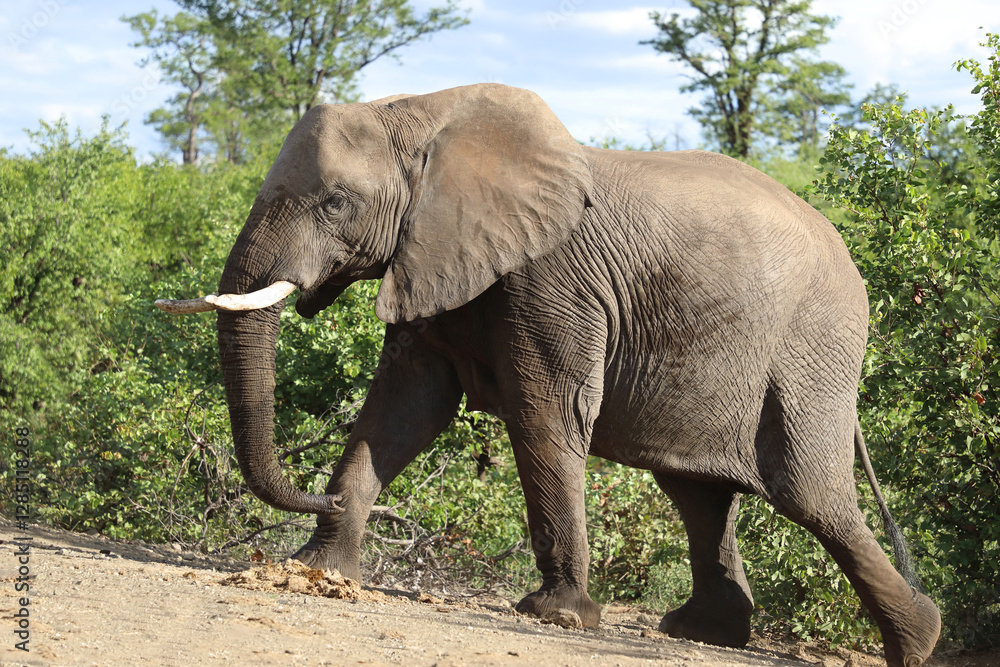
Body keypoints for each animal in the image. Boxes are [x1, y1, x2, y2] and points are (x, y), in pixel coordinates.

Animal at [156, 83, 940, 666]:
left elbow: (546, 411)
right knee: (698, 489)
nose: (324, 498)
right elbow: (404, 409)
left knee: (808, 491)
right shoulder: (433, 258)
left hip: (814, 345)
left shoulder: (552, 280)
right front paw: (316, 569)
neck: (421, 114)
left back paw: (919, 640)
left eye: (335, 203)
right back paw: (700, 633)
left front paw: (556, 616)